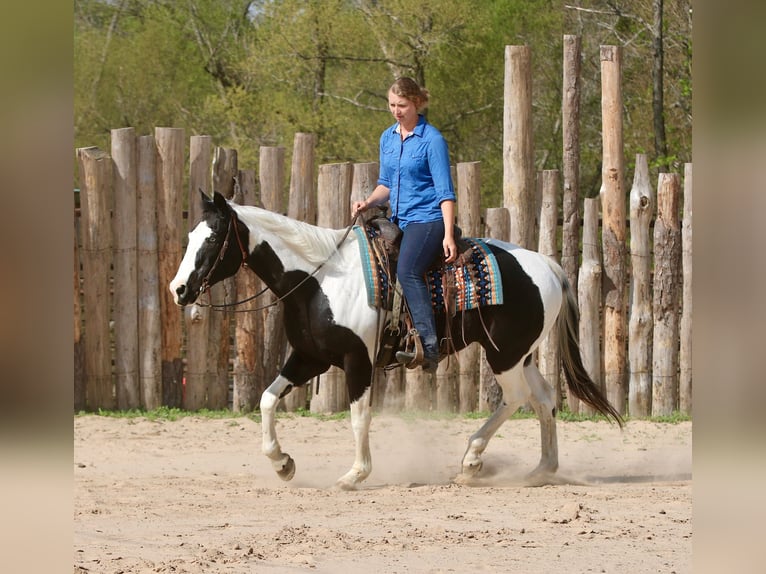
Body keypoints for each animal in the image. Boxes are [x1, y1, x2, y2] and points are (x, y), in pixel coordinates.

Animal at [169, 190, 622, 490]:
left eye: (213, 239)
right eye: (189, 236)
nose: (178, 289)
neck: (319, 279)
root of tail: (547, 265)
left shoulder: (358, 360)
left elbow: (359, 416)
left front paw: (355, 474)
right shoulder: (309, 357)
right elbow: (266, 399)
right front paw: (283, 464)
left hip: (504, 355)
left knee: (515, 399)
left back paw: (472, 459)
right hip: (521, 355)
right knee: (544, 398)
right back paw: (541, 469)